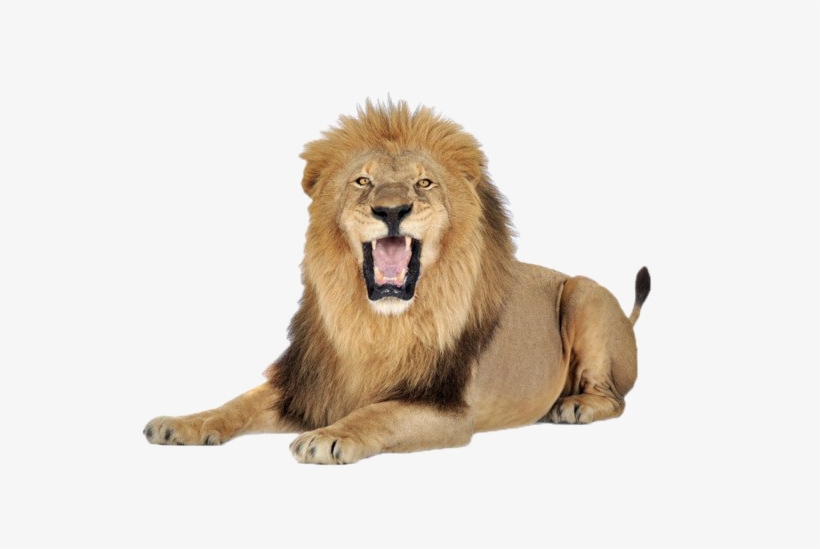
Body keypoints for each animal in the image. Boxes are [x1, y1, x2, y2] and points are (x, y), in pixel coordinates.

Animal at [144, 100, 651, 464]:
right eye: (362, 181)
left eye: (424, 183)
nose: (390, 210)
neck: (376, 323)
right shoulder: (308, 384)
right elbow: (237, 403)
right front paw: (181, 424)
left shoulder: (447, 410)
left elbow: (378, 411)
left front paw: (329, 436)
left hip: (584, 292)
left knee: (617, 398)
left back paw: (574, 406)